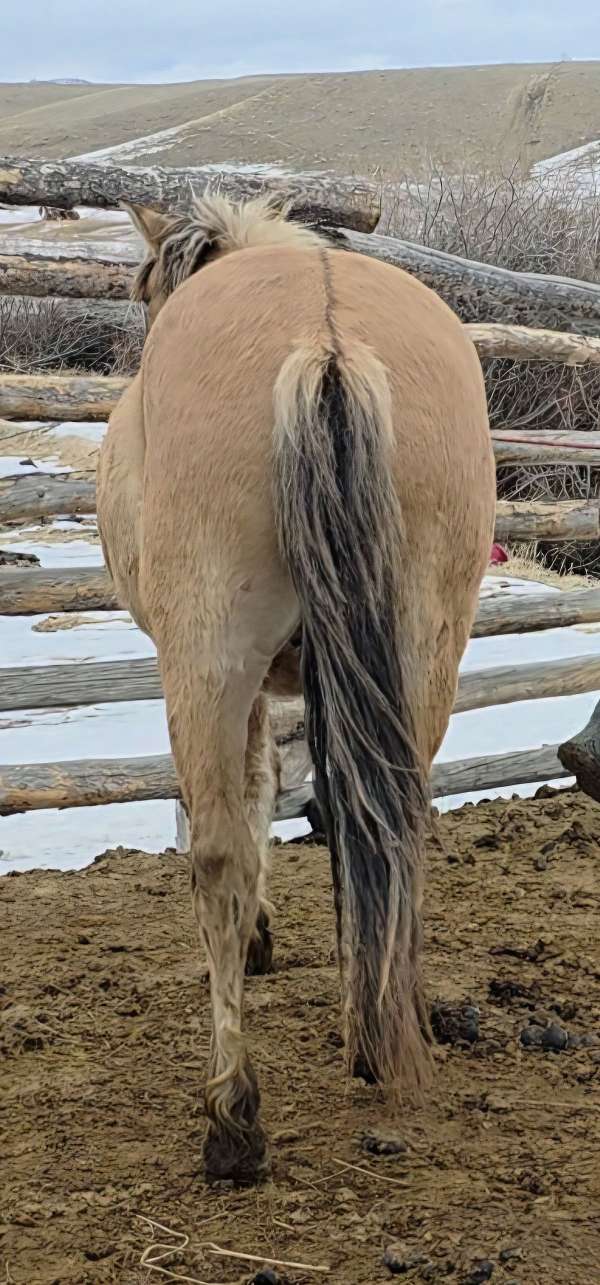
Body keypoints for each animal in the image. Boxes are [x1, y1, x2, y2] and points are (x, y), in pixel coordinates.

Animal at [96, 192, 496, 1185]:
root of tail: (326, 341)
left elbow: (248, 809)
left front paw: (257, 940)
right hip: (423, 652)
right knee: (397, 824)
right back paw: (381, 1035)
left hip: (207, 658)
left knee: (216, 855)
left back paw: (232, 1118)